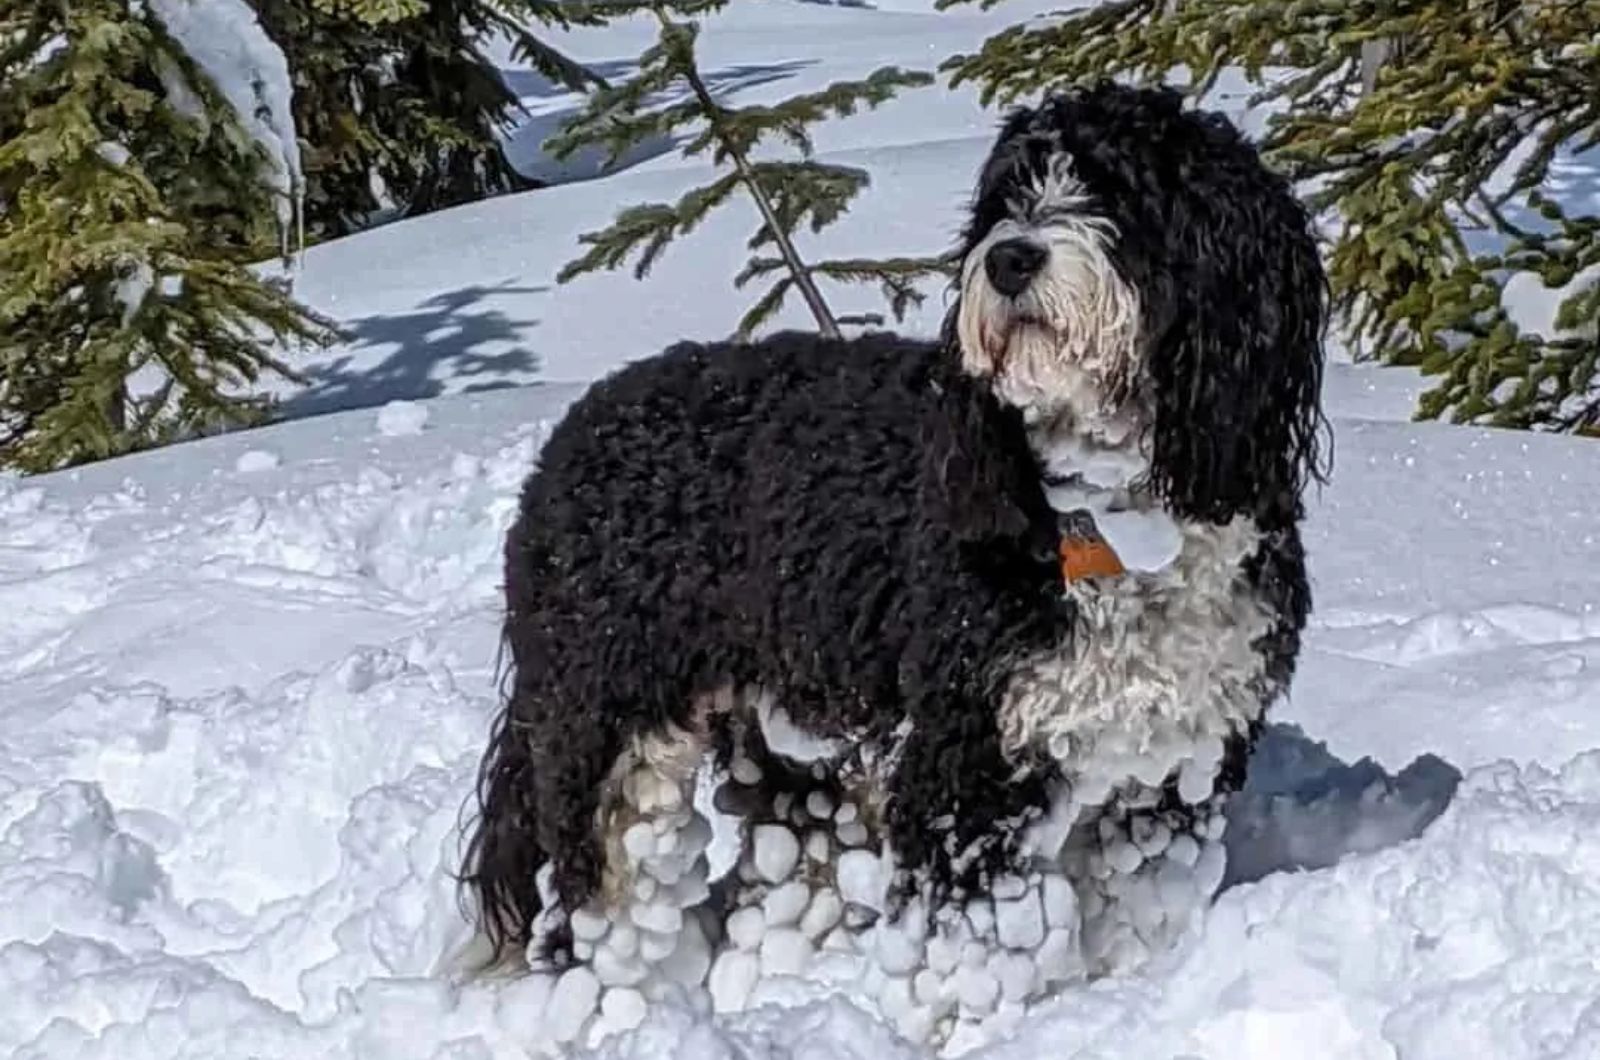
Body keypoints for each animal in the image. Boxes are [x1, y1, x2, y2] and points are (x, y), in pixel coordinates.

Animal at [460, 80, 1324, 1043]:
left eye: (1121, 191)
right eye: (1006, 198)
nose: (1010, 260)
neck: (1105, 519)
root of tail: (568, 440)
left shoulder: (1170, 771)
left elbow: (1137, 907)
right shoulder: (968, 763)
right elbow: (973, 951)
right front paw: (966, 1034)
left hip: (792, 735)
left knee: (785, 875)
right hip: (609, 721)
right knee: (598, 900)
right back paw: (614, 1016)